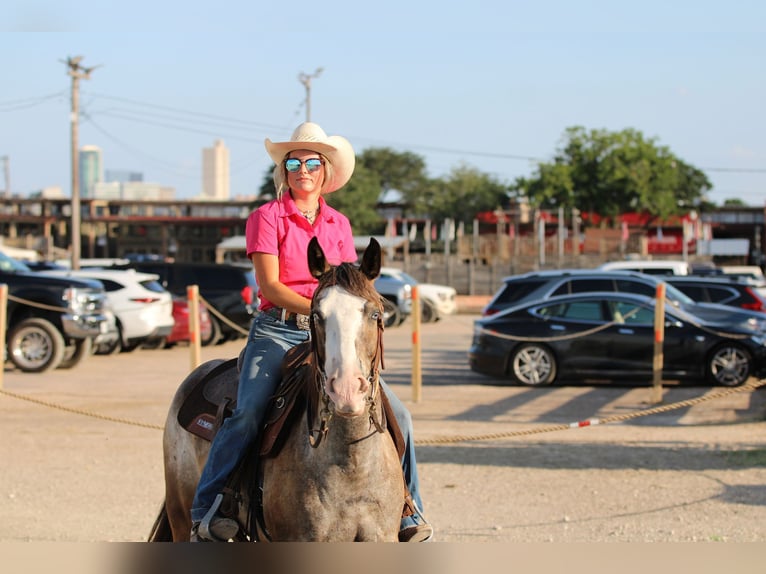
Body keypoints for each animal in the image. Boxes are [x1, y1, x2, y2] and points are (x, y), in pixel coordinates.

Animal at [146, 236, 404, 544]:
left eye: (375, 313)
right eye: (317, 315)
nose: (346, 389)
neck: (352, 465)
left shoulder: (381, 535)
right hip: (181, 517)